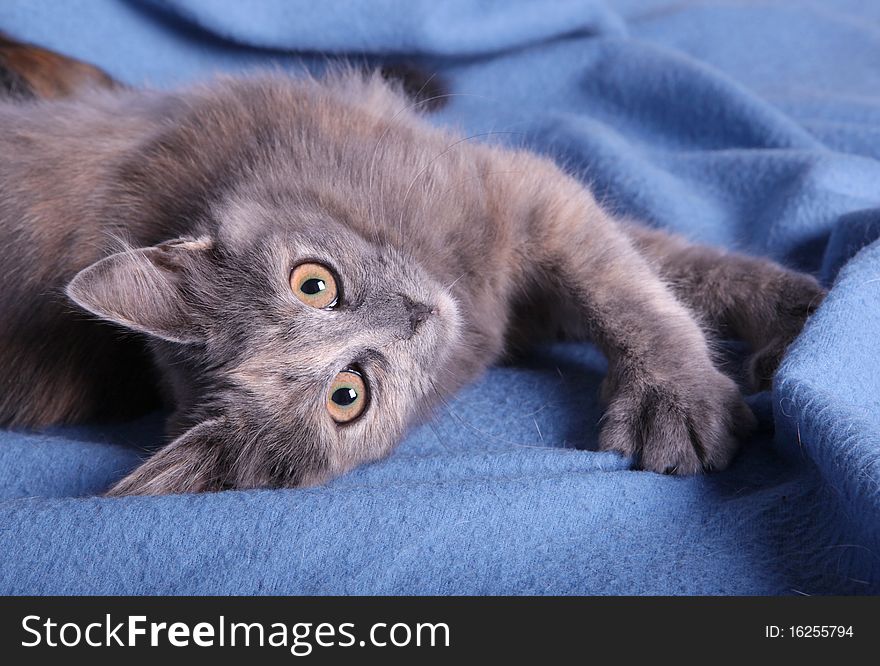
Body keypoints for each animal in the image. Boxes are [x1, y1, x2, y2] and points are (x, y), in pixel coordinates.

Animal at [1, 36, 824, 492]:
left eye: (314, 283)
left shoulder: (521, 196)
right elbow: (642, 273)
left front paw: (709, 371)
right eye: (348, 397)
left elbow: (642, 278)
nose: (414, 314)